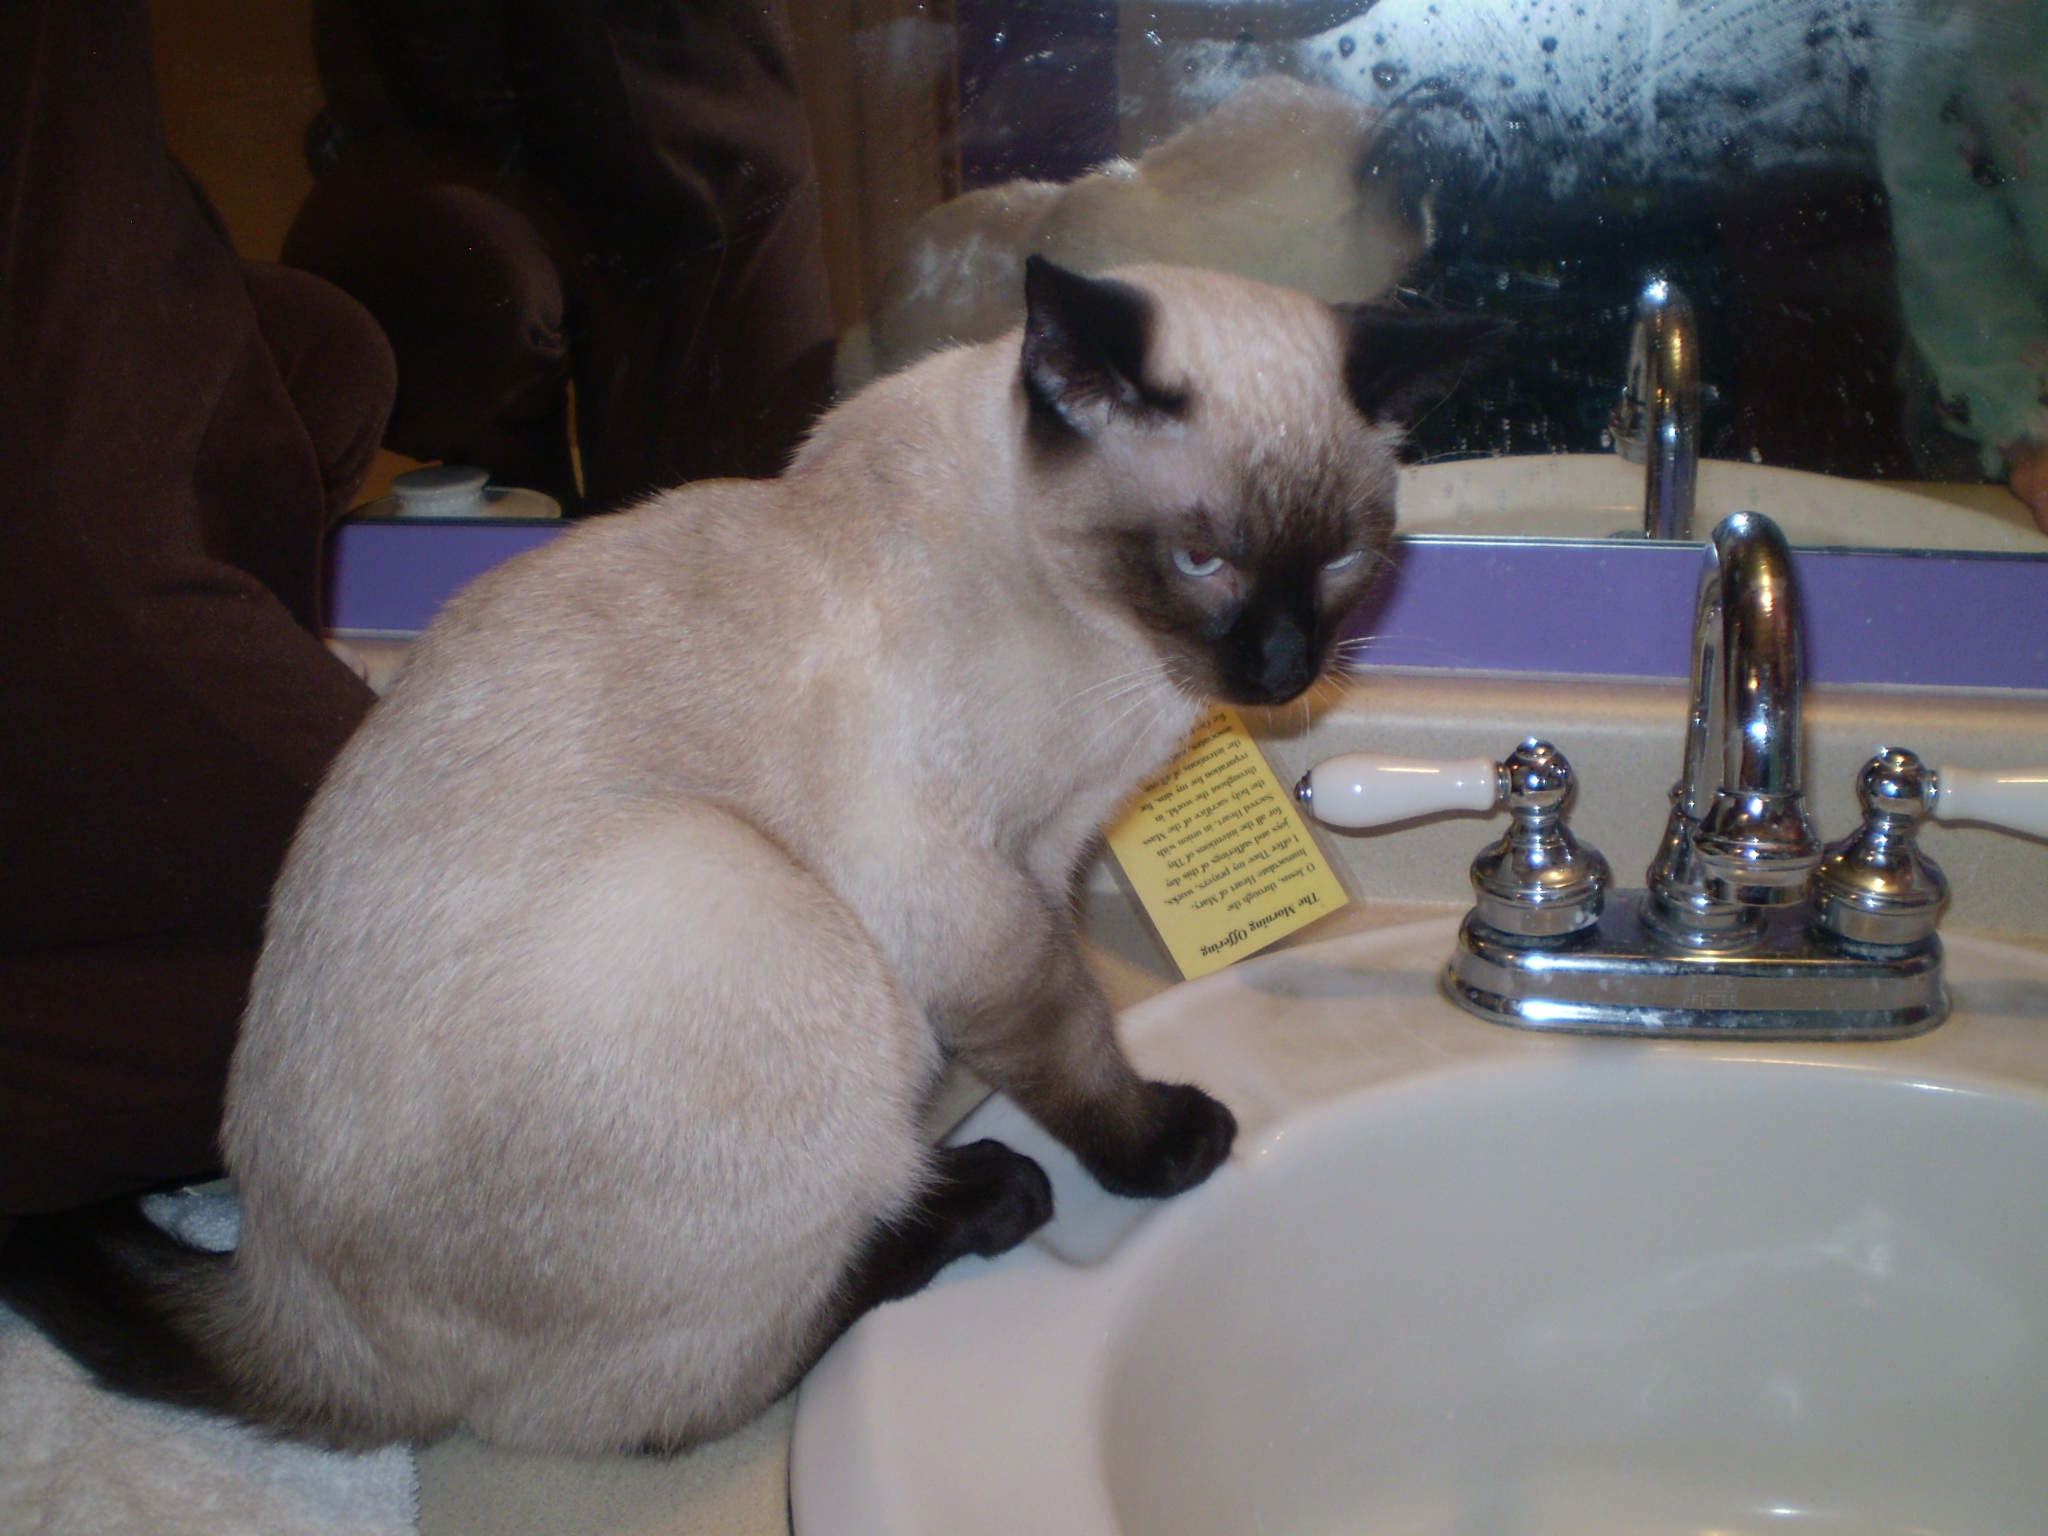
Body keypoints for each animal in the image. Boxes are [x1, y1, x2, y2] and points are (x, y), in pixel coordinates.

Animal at [0, 258, 1501, 1456]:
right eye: (1202, 560)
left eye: (1347, 560)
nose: (1282, 670)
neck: (1105, 647)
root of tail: (285, 1290)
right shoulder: (965, 885)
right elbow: (1071, 1035)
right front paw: (1156, 1147)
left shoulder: (1048, 858)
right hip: (733, 901)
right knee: (677, 1398)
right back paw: (982, 1194)